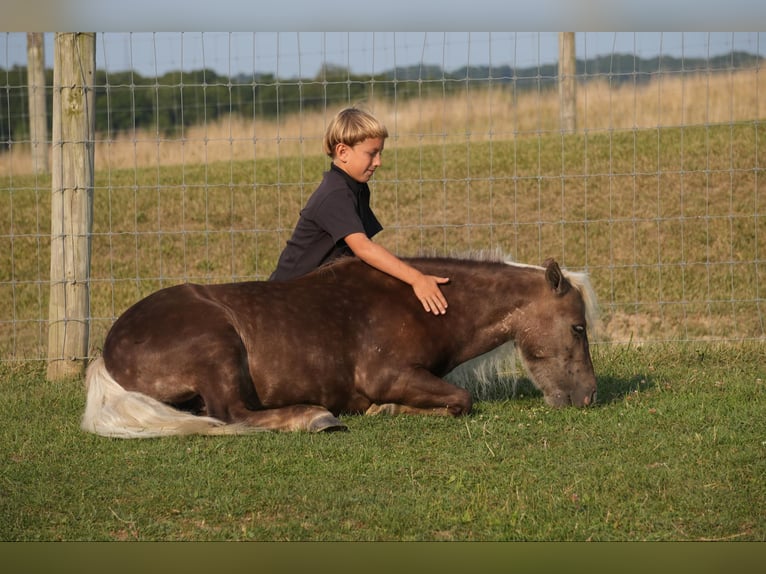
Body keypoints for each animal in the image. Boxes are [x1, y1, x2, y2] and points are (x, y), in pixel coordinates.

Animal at [82, 254, 600, 438]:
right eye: (578, 328)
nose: (590, 396)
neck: (420, 304)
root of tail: (108, 352)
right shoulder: (388, 375)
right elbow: (462, 399)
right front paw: (385, 409)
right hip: (216, 346)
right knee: (232, 415)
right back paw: (315, 418)